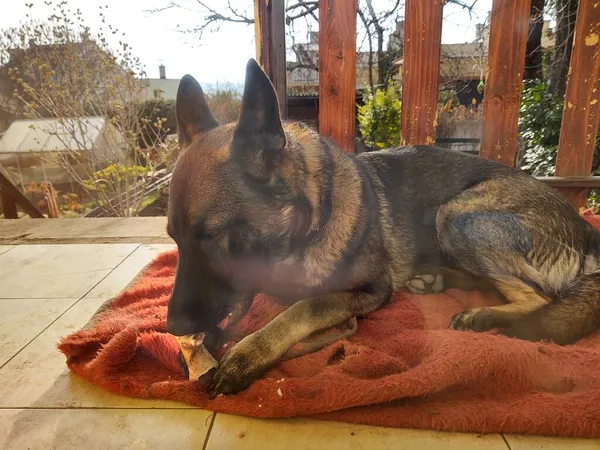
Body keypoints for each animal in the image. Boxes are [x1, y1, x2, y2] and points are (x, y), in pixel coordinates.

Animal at [166, 58, 600, 396]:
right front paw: (211, 342)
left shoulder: (369, 290)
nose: (171, 326)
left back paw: (480, 315)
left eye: (211, 236)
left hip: (456, 215)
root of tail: (585, 228)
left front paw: (248, 353)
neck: (308, 227)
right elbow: (240, 305)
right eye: (173, 238)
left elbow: (303, 307)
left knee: (539, 297)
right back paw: (435, 279)